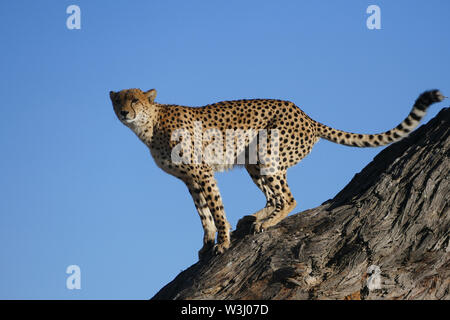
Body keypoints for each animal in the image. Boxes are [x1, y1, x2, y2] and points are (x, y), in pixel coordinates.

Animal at [110, 89, 444, 258]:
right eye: (118, 100)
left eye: (134, 99)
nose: (125, 112)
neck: (149, 126)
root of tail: (306, 115)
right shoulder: (190, 180)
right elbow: (203, 213)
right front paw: (207, 243)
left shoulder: (202, 172)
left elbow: (216, 210)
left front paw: (223, 243)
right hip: (253, 160)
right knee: (275, 197)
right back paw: (256, 217)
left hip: (268, 152)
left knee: (288, 198)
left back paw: (266, 223)